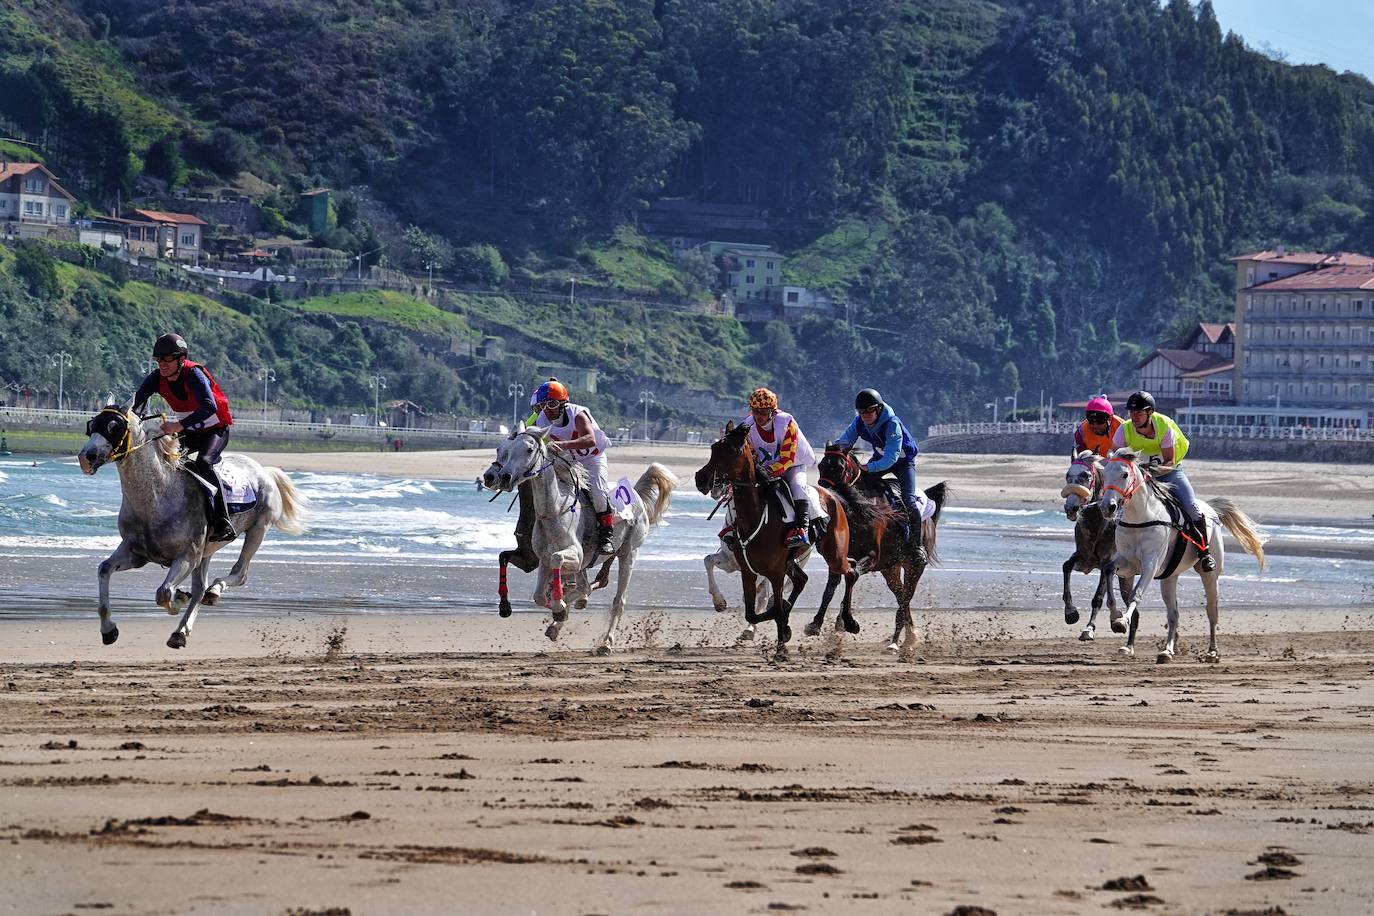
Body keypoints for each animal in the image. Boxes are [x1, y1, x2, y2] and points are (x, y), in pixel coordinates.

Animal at [79, 403, 310, 648]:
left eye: (115, 427)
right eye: (92, 425)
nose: (86, 457)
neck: (158, 496)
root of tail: (264, 471)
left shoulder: (187, 556)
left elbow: (163, 593)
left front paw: (178, 598)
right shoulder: (136, 553)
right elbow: (104, 569)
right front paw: (108, 630)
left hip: (257, 530)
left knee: (237, 574)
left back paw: (213, 593)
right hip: (207, 551)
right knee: (200, 589)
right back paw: (181, 631)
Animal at [692, 422, 851, 659]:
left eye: (733, 450)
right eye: (713, 447)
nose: (702, 479)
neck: (754, 517)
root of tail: (832, 496)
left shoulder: (773, 571)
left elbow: (770, 605)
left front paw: (780, 646)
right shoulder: (744, 567)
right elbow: (752, 608)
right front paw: (720, 603)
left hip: (832, 553)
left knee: (850, 572)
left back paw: (849, 622)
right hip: (793, 562)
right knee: (801, 580)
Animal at [802, 444, 945, 650]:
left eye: (840, 468)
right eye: (821, 465)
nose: (824, 497)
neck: (857, 511)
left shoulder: (870, 557)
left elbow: (852, 576)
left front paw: (846, 622)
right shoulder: (837, 559)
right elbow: (830, 588)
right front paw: (816, 624)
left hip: (914, 566)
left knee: (906, 597)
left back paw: (897, 642)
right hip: (890, 568)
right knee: (901, 596)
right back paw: (908, 637)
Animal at [1055, 450, 1121, 637]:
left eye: (1086, 475)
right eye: (1067, 475)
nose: (1071, 508)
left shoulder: (1108, 561)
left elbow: (1098, 597)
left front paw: (1089, 627)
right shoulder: (1084, 559)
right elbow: (1066, 566)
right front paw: (1070, 612)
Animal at [1093, 450, 1264, 659]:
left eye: (1125, 474)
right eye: (1104, 473)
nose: (1107, 507)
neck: (1139, 518)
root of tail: (1211, 509)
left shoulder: (1150, 565)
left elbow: (1136, 594)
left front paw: (1121, 622)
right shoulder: (1128, 564)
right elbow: (1108, 570)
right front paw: (1114, 616)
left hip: (1209, 575)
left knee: (1211, 610)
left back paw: (1212, 651)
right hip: (1169, 577)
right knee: (1174, 613)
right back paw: (1167, 651)